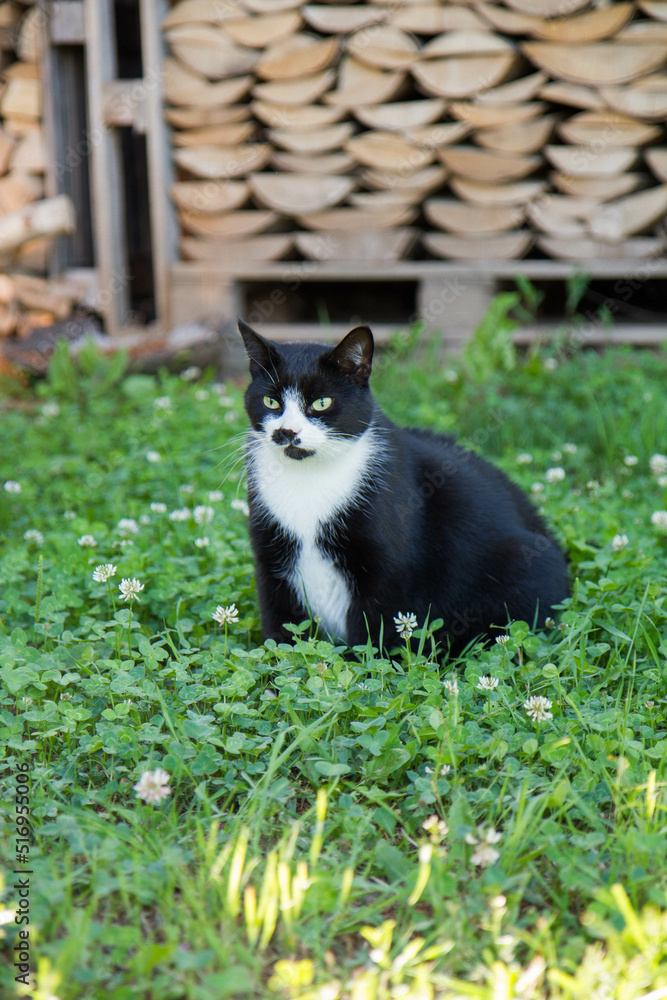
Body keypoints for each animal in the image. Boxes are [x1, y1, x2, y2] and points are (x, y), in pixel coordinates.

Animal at [240, 320, 568, 656]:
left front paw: (364, 666)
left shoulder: (389, 569)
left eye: (321, 403)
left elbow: (373, 633)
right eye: (271, 401)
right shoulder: (270, 557)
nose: (286, 432)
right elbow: (280, 625)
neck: (308, 479)